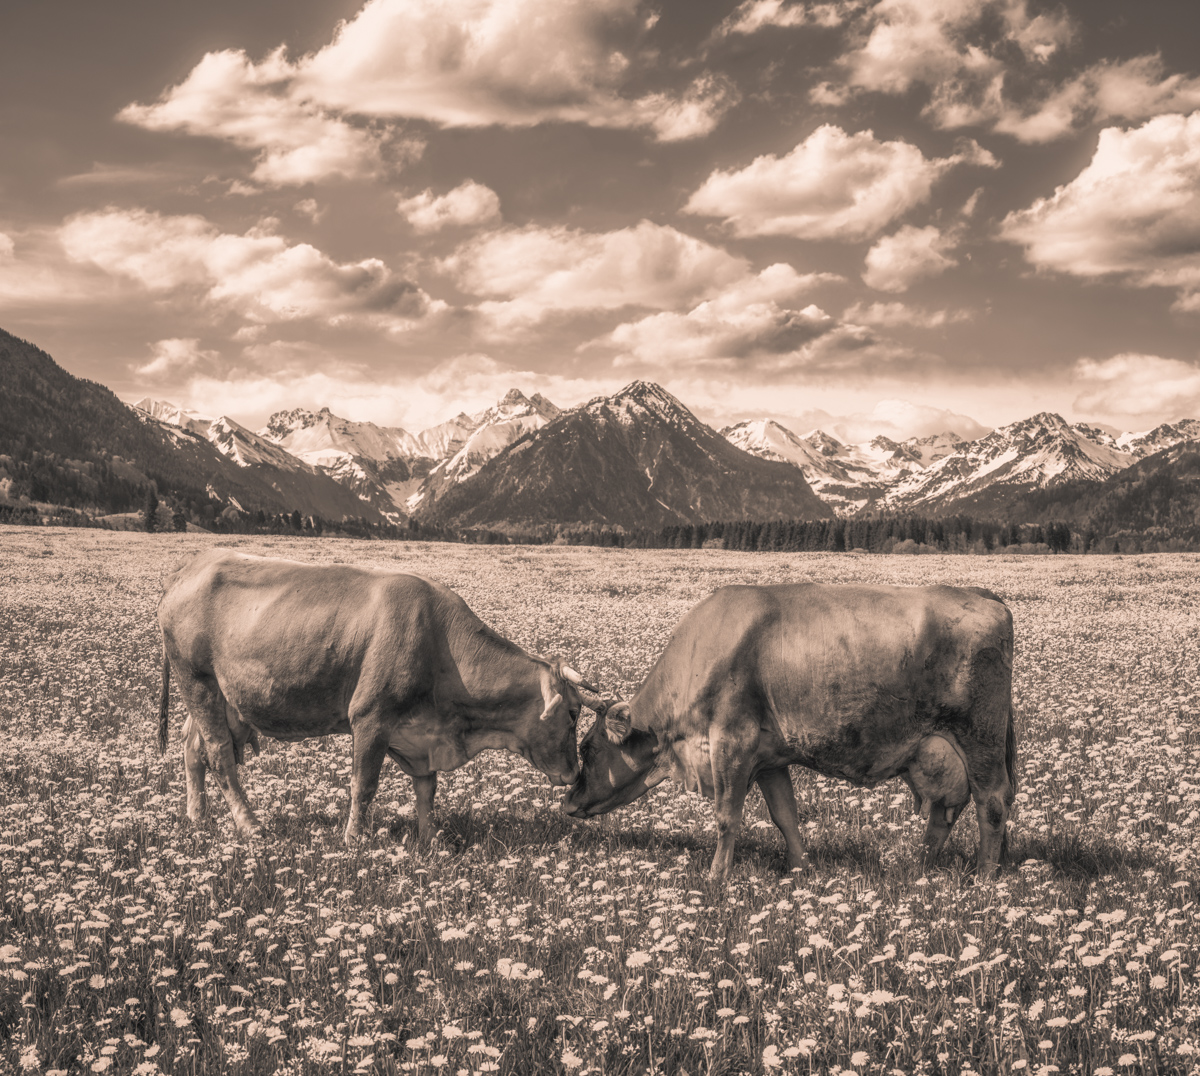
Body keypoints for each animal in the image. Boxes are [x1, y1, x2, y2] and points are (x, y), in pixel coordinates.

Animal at [157, 549, 596, 843]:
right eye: (573, 713)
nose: (574, 774)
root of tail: (192, 564)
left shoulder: (421, 735)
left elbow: (427, 790)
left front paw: (430, 839)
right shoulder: (371, 717)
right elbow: (364, 784)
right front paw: (354, 840)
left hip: (223, 696)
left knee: (192, 747)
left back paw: (199, 819)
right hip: (197, 681)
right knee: (218, 753)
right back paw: (250, 826)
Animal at [562, 584, 1015, 882]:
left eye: (586, 748)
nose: (567, 802)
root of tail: (982, 595)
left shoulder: (731, 742)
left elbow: (727, 816)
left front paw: (716, 877)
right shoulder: (768, 759)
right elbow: (786, 816)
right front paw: (800, 869)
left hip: (980, 739)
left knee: (991, 802)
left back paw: (984, 878)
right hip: (938, 751)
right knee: (946, 810)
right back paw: (919, 869)